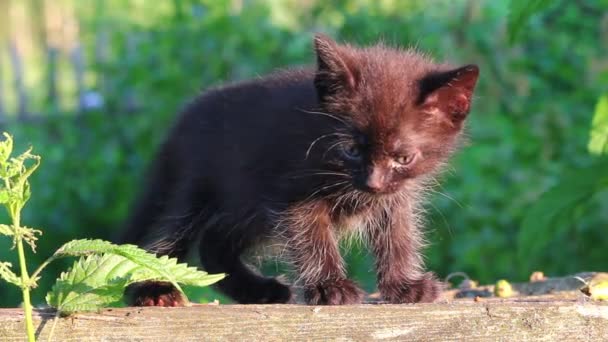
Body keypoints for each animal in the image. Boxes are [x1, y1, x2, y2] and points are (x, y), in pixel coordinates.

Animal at [120, 34, 480, 304]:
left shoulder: (395, 197)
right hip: (195, 184)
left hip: (248, 208)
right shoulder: (292, 193)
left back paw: (260, 291)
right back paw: (153, 289)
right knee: (162, 236)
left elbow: (398, 237)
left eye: (403, 158)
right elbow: (313, 237)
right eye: (351, 150)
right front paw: (330, 287)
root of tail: (181, 122)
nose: (373, 183)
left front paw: (405, 286)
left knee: (214, 241)